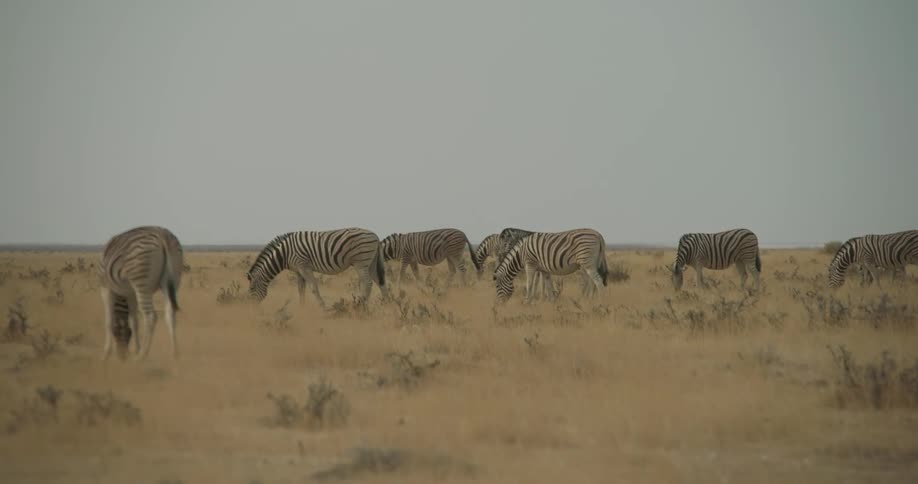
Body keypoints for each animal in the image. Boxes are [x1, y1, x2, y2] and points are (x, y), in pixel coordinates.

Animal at [99, 226, 183, 361]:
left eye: (117, 334)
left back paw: (142, 356)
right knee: (170, 313)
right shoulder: (130, 293)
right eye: (128, 334)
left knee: (150, 316)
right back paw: (174, 354)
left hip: (141, 281)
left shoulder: (105, 287)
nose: (122, 358)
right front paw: (136, 349)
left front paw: (106, 354)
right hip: (174, 279)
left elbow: (108, 321)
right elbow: (134, 322)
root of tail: (162, 235)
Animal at [246, 228, 385, 306]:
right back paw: (387, 304)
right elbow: (301, 290)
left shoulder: (304, 266)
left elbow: (313, 287)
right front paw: (302, 308)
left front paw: (323, 307)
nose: (252, 308)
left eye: (252, 288)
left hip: (361, 262)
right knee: (380, 282)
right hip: (371, 262)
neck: (284, 254)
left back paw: (362, 306)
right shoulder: (298, 270)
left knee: (368, 283)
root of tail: (375, 235)